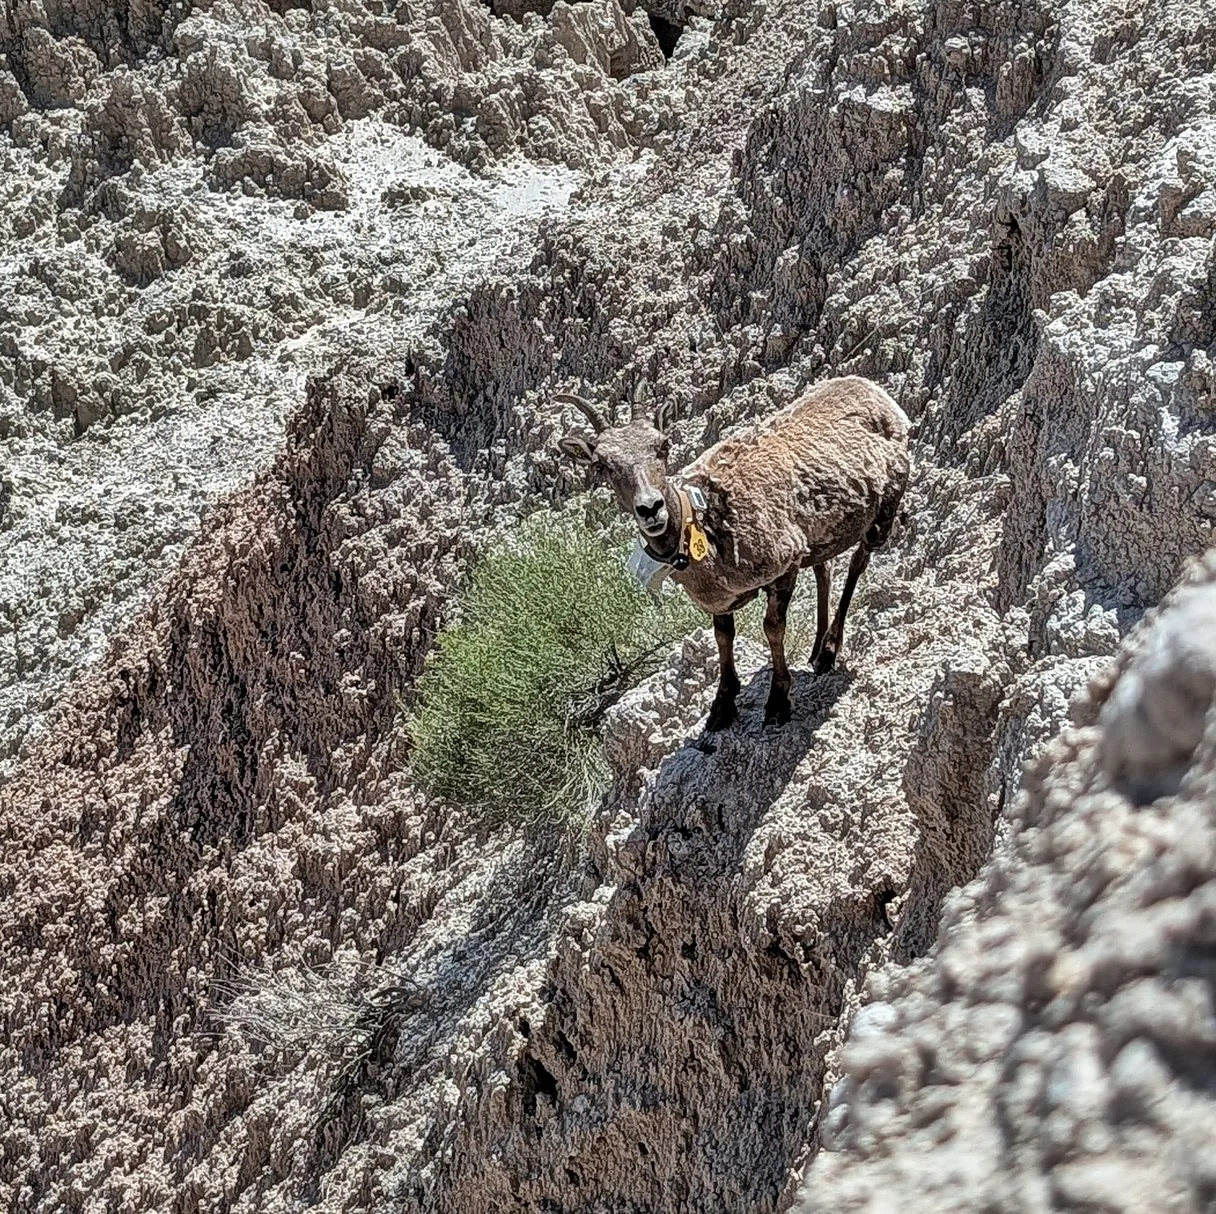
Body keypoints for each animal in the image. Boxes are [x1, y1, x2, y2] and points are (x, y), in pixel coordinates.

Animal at [556, 376, 910, 730]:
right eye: (602, 465)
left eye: (663, 446)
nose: (650, 508)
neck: (706, 522)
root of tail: (873, 391)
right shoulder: (721, 600)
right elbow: (723, 637)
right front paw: (722, 706)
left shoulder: (784, 565)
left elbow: (772, 628)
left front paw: (778, 702)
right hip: (821, 537)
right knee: (825, 569)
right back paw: (816, 647)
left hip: (885, 508)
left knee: (857, 563)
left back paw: (829, 651)